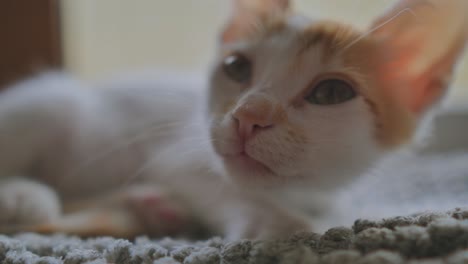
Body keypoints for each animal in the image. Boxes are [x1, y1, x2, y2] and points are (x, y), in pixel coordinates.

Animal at [0, 0, 466, 240]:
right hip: (52, 101)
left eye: (331, 93)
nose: (248, 116)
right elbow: (231, 190)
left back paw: (156, 208)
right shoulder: (180, 152)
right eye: (237, 67)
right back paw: (23, 195)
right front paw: (279, 228)